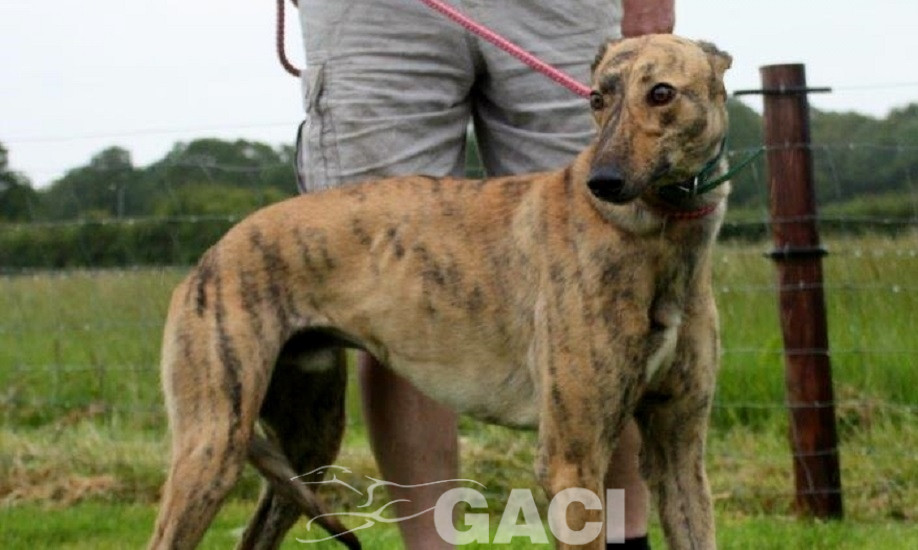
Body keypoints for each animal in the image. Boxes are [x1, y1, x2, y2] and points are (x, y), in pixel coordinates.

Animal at [148, 34, 732, 550]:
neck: (658, 236)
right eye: (596, 98)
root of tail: (209, 257)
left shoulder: (679, 451)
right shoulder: (571, 459)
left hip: (309, 440)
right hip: (212, 442)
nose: (602, 182)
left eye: (661, 92)